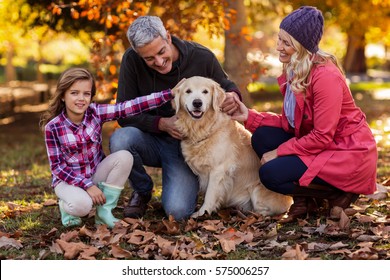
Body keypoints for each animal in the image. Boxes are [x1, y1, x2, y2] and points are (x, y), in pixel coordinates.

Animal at [172, 76, 290, 219]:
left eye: (205, 92)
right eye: (188, 91)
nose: (197, 103)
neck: (203, 128)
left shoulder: (219, 170)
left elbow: (210, 194)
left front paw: (202, 213)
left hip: (257, 191)